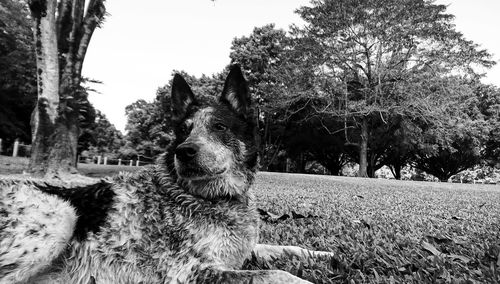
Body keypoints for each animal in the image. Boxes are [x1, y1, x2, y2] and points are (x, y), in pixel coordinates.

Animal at [0, 65, 332, 282]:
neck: (212, 200)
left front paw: (326, 256)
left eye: (219, 127)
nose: (184, 151)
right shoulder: (189, 270)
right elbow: (279, 275)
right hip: (60, 217)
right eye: (183, 131)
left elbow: (285, 249)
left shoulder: (243, 250)